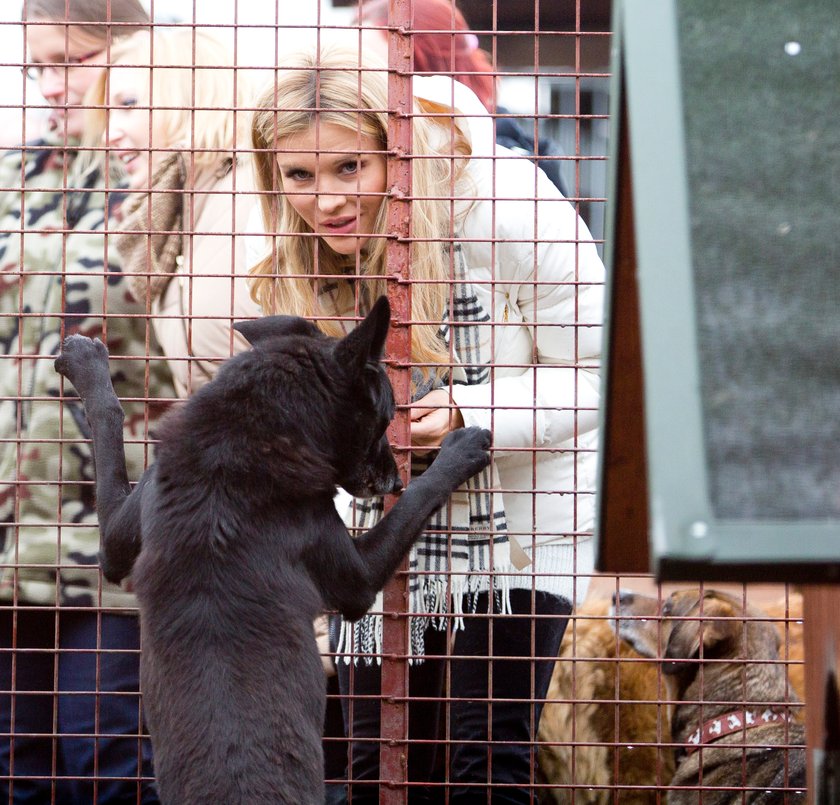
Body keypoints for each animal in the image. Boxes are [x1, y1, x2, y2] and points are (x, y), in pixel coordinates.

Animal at [54, 298, 492, 804]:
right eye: (383, 418)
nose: (394, 481)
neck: (242, 433)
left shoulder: (119, 537)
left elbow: (109, 429)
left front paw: (86, 366)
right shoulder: (356, 578)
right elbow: (418, 501)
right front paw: (459, 450)